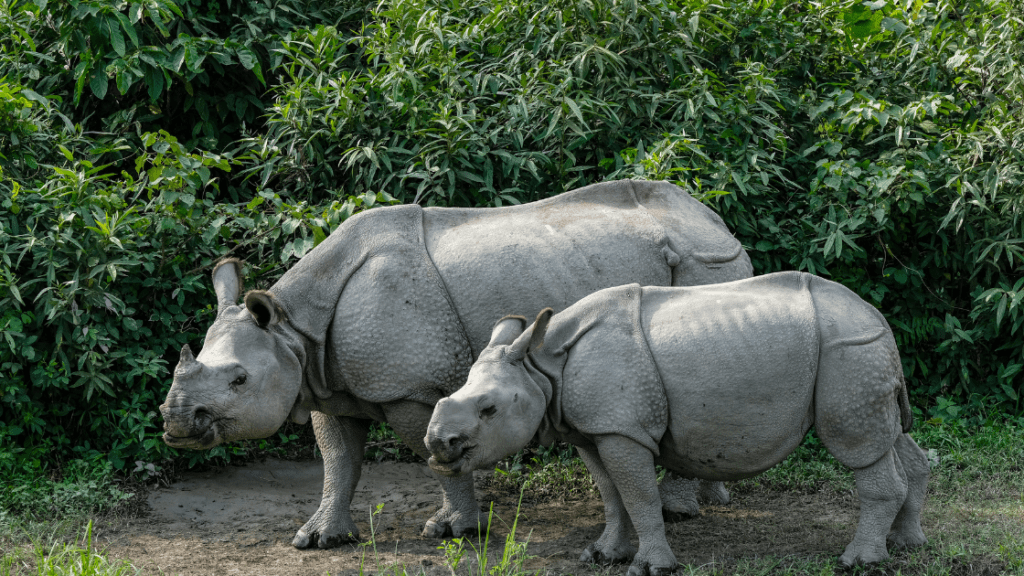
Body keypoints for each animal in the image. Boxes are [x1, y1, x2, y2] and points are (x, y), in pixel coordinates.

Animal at [159, 179, 753, 545]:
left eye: (238, 380)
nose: (177, 423)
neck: (290, 328)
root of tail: (717, 221)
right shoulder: (325, 380)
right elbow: (338, 460)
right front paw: (319, 538)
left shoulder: (408, 387)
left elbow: (429, 453)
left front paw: (452, 530)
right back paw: (707, 496)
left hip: (705, 264)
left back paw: (677, 510)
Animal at [423, 270, 929, 569]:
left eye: (489, 410)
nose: (437, 445)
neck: (541, 366)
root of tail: (876, 316)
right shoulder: (595, 428)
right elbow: (612, 495)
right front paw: (603, 555)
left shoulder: (622, 428)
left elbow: (638, 493)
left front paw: (652, 566)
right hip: (861, 353)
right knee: (891, 438)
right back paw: (906, 544)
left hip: (849, 351)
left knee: (859, 448)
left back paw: (859, 561)